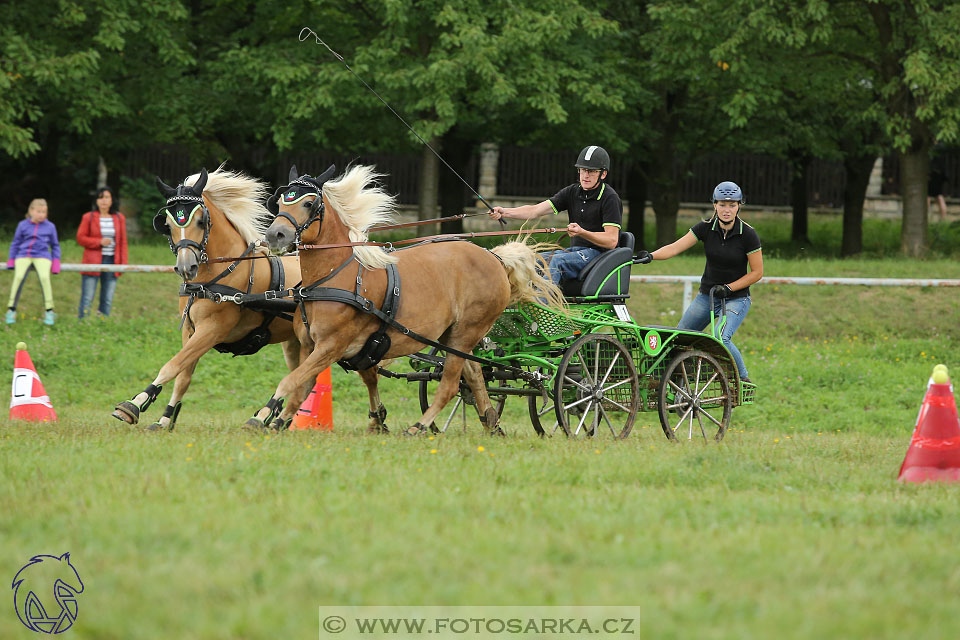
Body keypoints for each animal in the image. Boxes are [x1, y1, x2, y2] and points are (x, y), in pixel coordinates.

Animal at [114, 169, 306, 430]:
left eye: (200, 221)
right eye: (168, 224)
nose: (186, 267)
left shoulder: (212, 329)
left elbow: (172, 365)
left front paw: (135, 403)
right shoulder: (190, 330)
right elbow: (183, 375)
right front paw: (165, 418)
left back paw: (266, 416)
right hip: (294, 342)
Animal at [244, 165, 568, 436]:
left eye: (308, 204)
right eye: (280, 202)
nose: (275, 235)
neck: (336, 275)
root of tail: (495, 257)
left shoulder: (331, 346)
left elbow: (292, 381)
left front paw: (260, 416)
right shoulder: (310, 345)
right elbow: (302, 385)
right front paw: (280, 419)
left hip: (467, 331)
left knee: (450, 385)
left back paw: (420, 426)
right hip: (453, 337)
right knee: (475, 375)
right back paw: (491, 422)